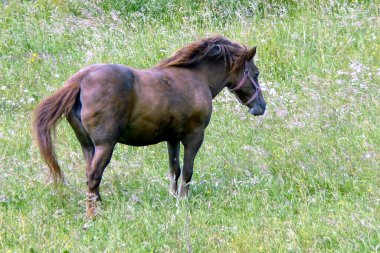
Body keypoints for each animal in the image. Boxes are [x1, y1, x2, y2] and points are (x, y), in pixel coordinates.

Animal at [32, 36, 266, 217]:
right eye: (255, 73)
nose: (261, 106)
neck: (195, 77)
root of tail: (81, 80)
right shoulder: (194, 136)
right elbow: (188, 171)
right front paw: (183, 201)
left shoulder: (172, 138)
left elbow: (174, 170)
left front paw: (173, 199)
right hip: (105, 146)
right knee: (93, 176)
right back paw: (92, 215)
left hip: (88, 146)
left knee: (90, 176)